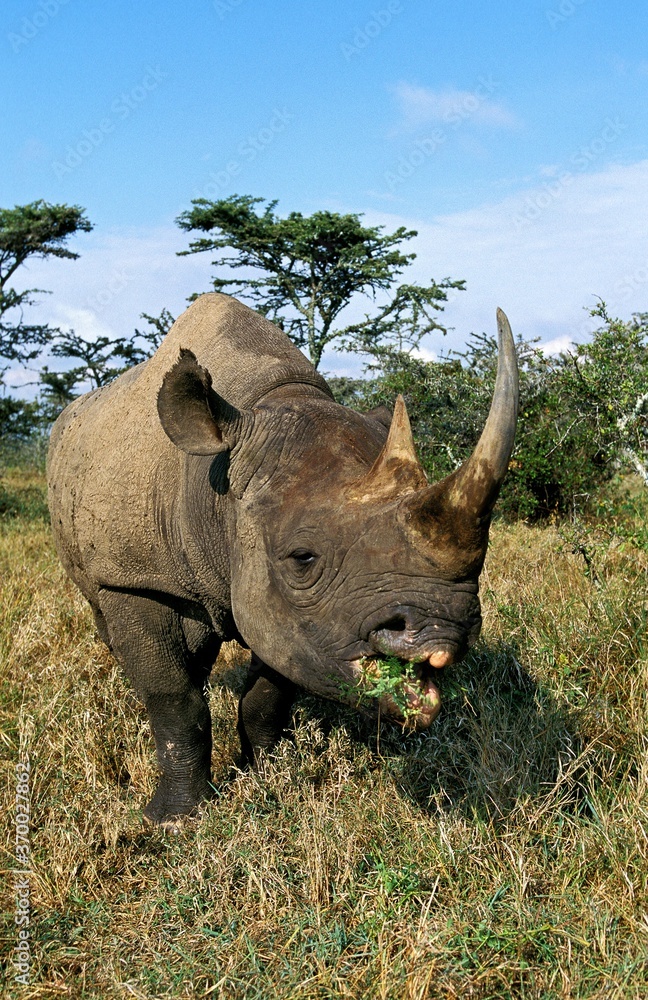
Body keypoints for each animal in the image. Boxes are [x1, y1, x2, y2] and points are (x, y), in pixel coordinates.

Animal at [47, 293, 518, 827]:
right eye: (302, 558)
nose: (446, 632)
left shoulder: (291, 619)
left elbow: (271, 688)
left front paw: (267, 775)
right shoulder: (134, 578)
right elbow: (174, 699)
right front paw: (174, 820)